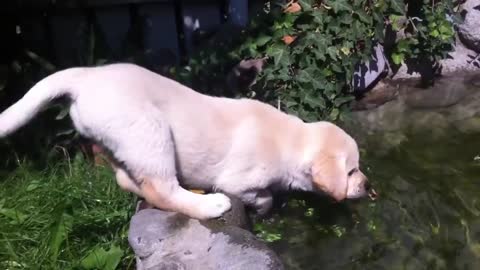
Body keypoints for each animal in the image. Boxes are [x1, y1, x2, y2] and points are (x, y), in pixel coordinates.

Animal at [0, 63, 372, 219]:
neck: (291, 138)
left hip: (122, 144)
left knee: (127, 179)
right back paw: (208, 206)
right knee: (162, 189)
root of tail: (85, 77)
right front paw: (266, 209)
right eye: (351, 171)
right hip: (149, 132)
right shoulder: (239, 181)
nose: (368, 186)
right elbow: (262, 195)